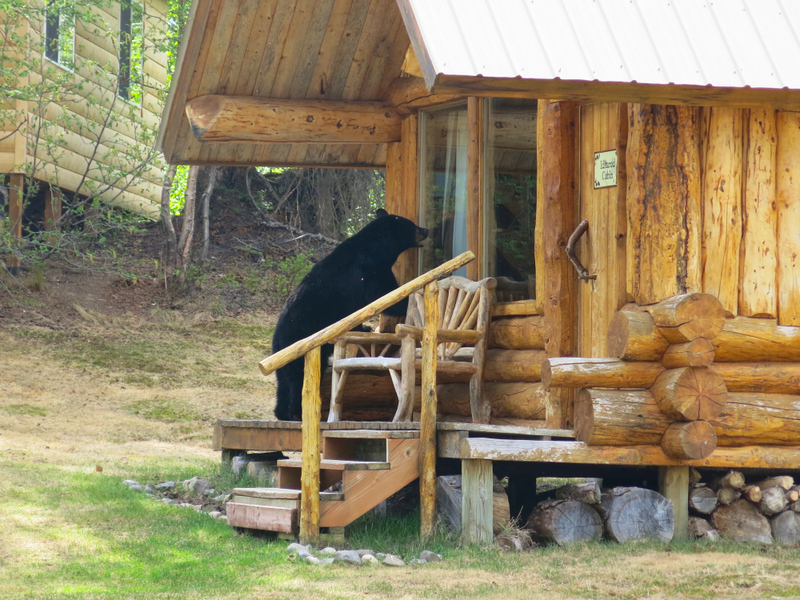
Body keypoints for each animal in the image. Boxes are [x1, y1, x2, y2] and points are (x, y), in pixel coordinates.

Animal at [272, 211, 428, 422]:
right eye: (413, 226)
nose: (426, 230)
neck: (377, 250)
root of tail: (280, 337)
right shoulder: (370, 273)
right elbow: (385, 295)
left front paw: (364, 327)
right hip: (302, 338)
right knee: (298, 376)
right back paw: (296, 413)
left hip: (280, 350)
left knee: (283, 379)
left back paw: (281, 413)